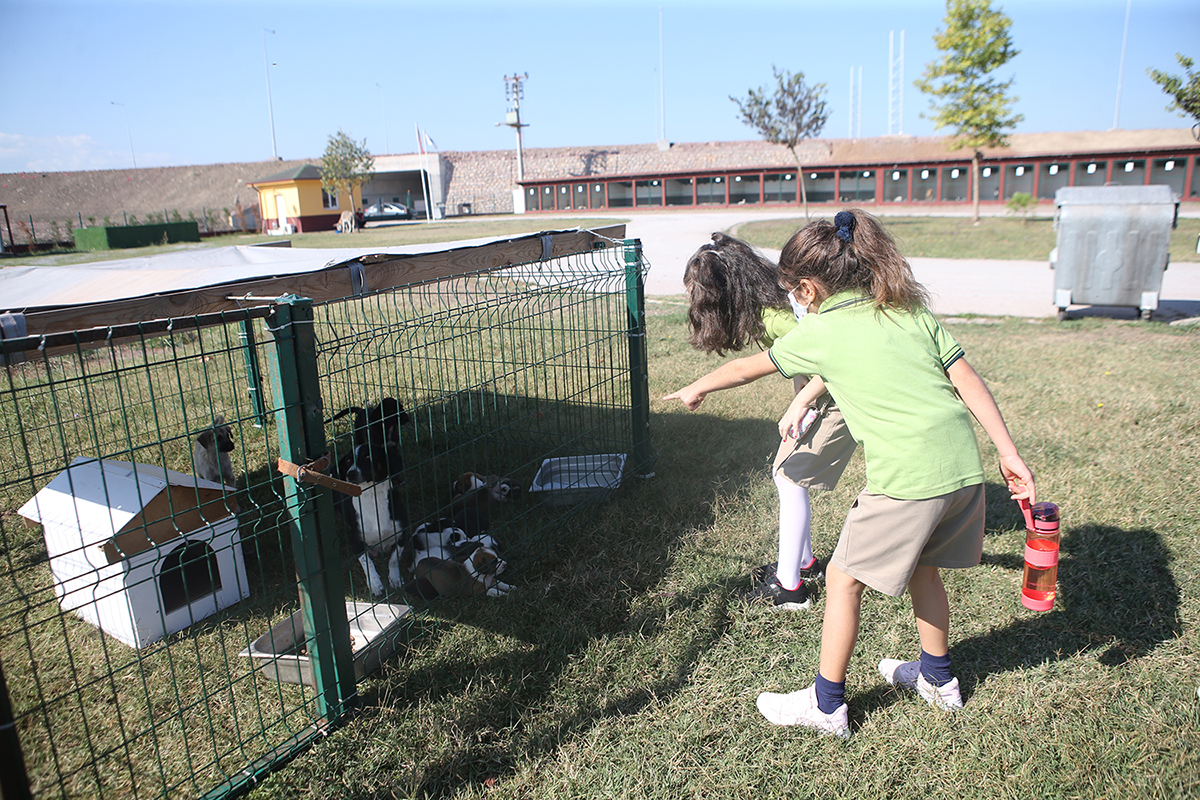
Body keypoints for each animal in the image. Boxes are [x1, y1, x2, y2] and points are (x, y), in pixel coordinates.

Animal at [333, 398, 412, 594]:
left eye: (368, 457)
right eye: (348, 461)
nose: (350, 474)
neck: (373, 496)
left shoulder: (401, 534)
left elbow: (394, 560)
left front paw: (395, 578)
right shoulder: (357, 542)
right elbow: (367, 563)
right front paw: (375, 584)